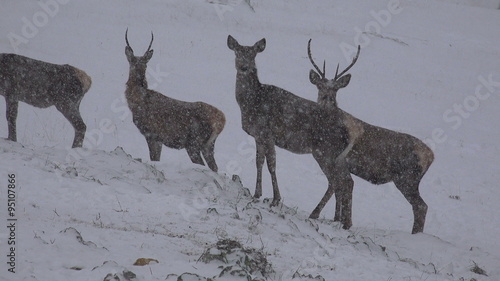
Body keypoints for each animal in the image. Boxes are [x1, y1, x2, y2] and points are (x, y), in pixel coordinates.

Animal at [125, 30, 225, 171]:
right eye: (135, 62)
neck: (137, 102)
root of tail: (222, 120)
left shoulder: (152, 134)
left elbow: (154, 158)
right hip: (208, 145)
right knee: (214, 167)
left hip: (194, 143)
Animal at [227, 34, 360, 225]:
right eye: (237, 52)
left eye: (253, 55)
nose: (244, 66)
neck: (253, 102)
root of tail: (348, 133)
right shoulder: (258, 135)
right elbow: (259, 162)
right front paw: (257, 193)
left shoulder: (268, 133)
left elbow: (272, 164)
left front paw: (275, 199)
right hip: (334, 155)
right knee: (346, 181)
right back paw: (342, 221)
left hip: (325, 151)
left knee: (338, 181)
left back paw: (319, 215)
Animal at [306, 38, 432, 232]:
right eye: (320, 86)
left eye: (336, 89)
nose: (327, 99)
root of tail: (432, 156)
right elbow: (338, 187)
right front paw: (336, 219)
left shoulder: (335, 160)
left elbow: (341, 185)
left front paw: (330, 218)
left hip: (407, 178)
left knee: (421, 206)